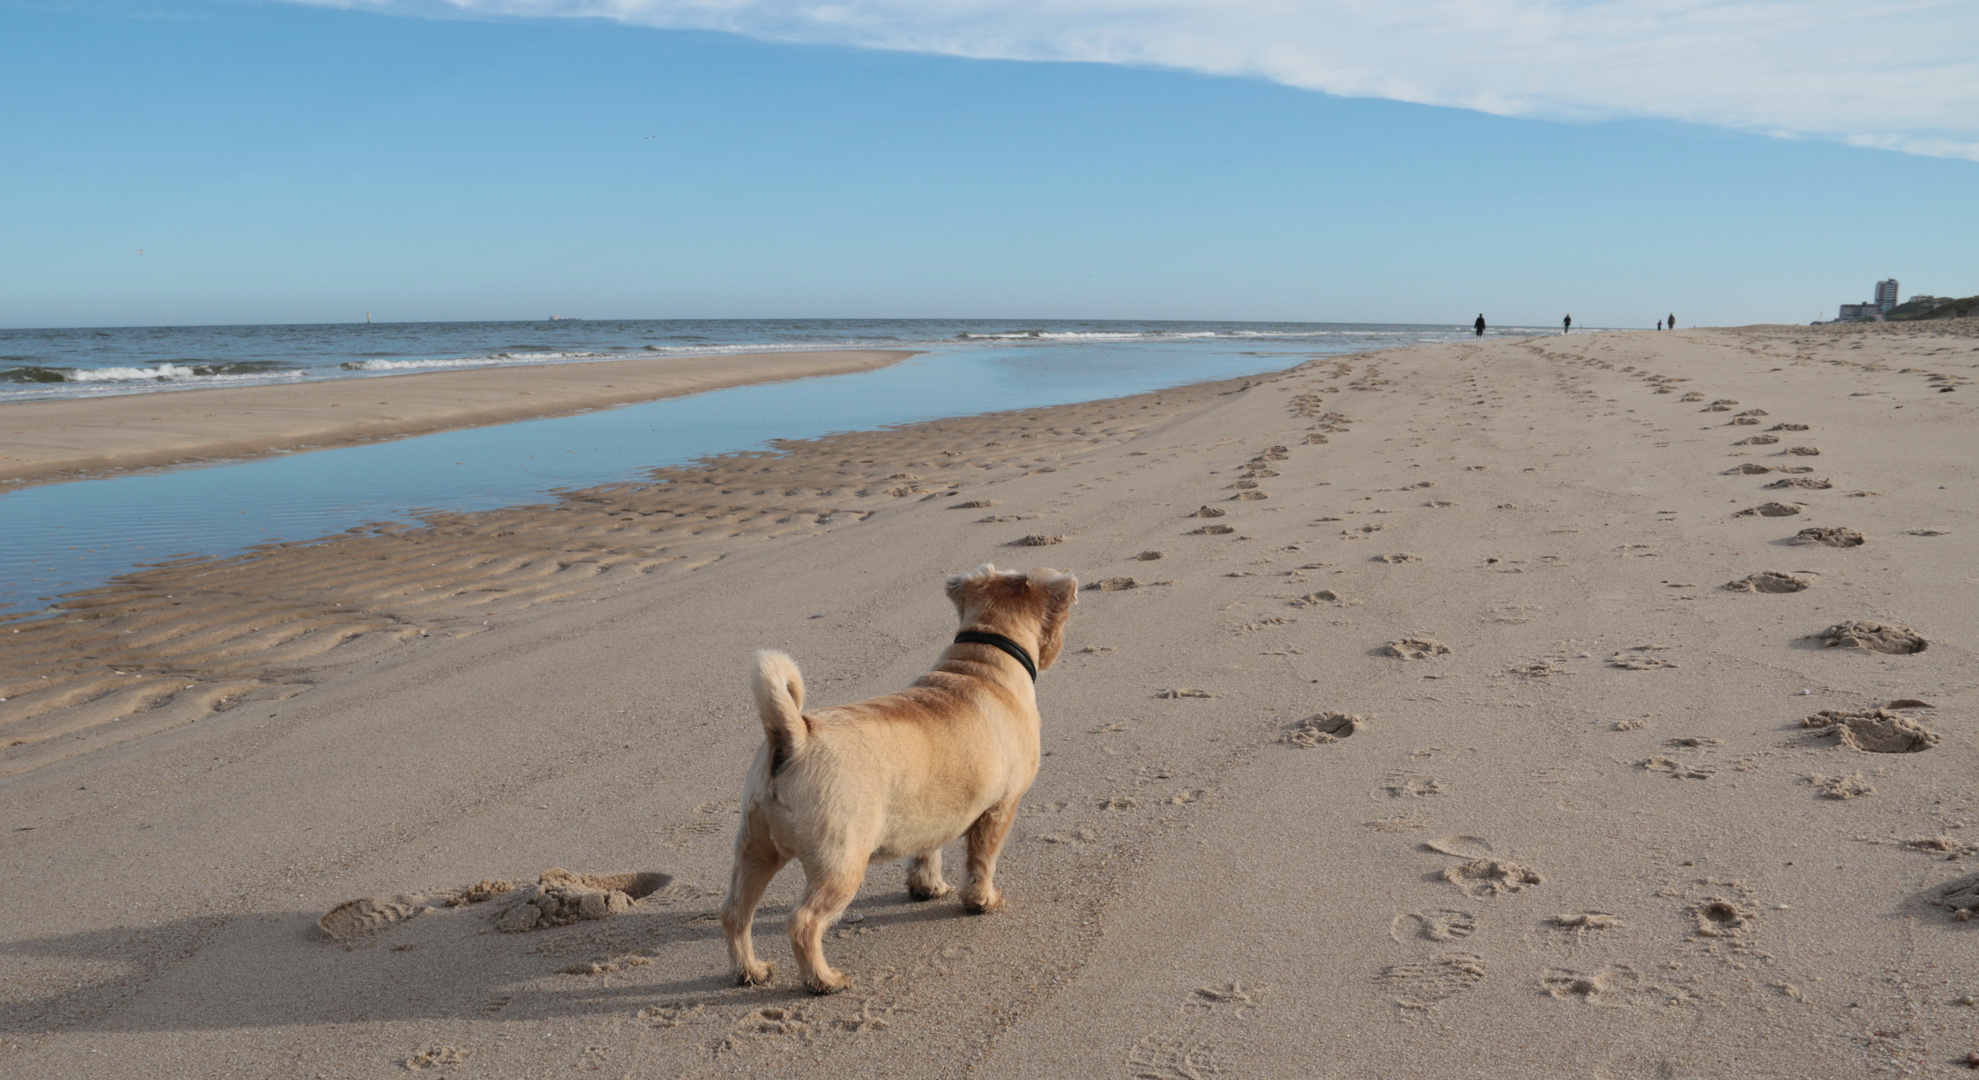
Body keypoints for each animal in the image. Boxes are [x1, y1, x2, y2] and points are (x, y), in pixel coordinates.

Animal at [716, 561, 1076, 992]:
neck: (983, 662)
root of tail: (793, 735)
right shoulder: (1000, 809)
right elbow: (982, 861)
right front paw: (982, 901)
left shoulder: (935, 812)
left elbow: (926, 852)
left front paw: (928, 887)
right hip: (841, 864)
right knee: (803, 923)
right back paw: (823, 980)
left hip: (755, 849)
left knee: (736, 913)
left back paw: (749, 970)